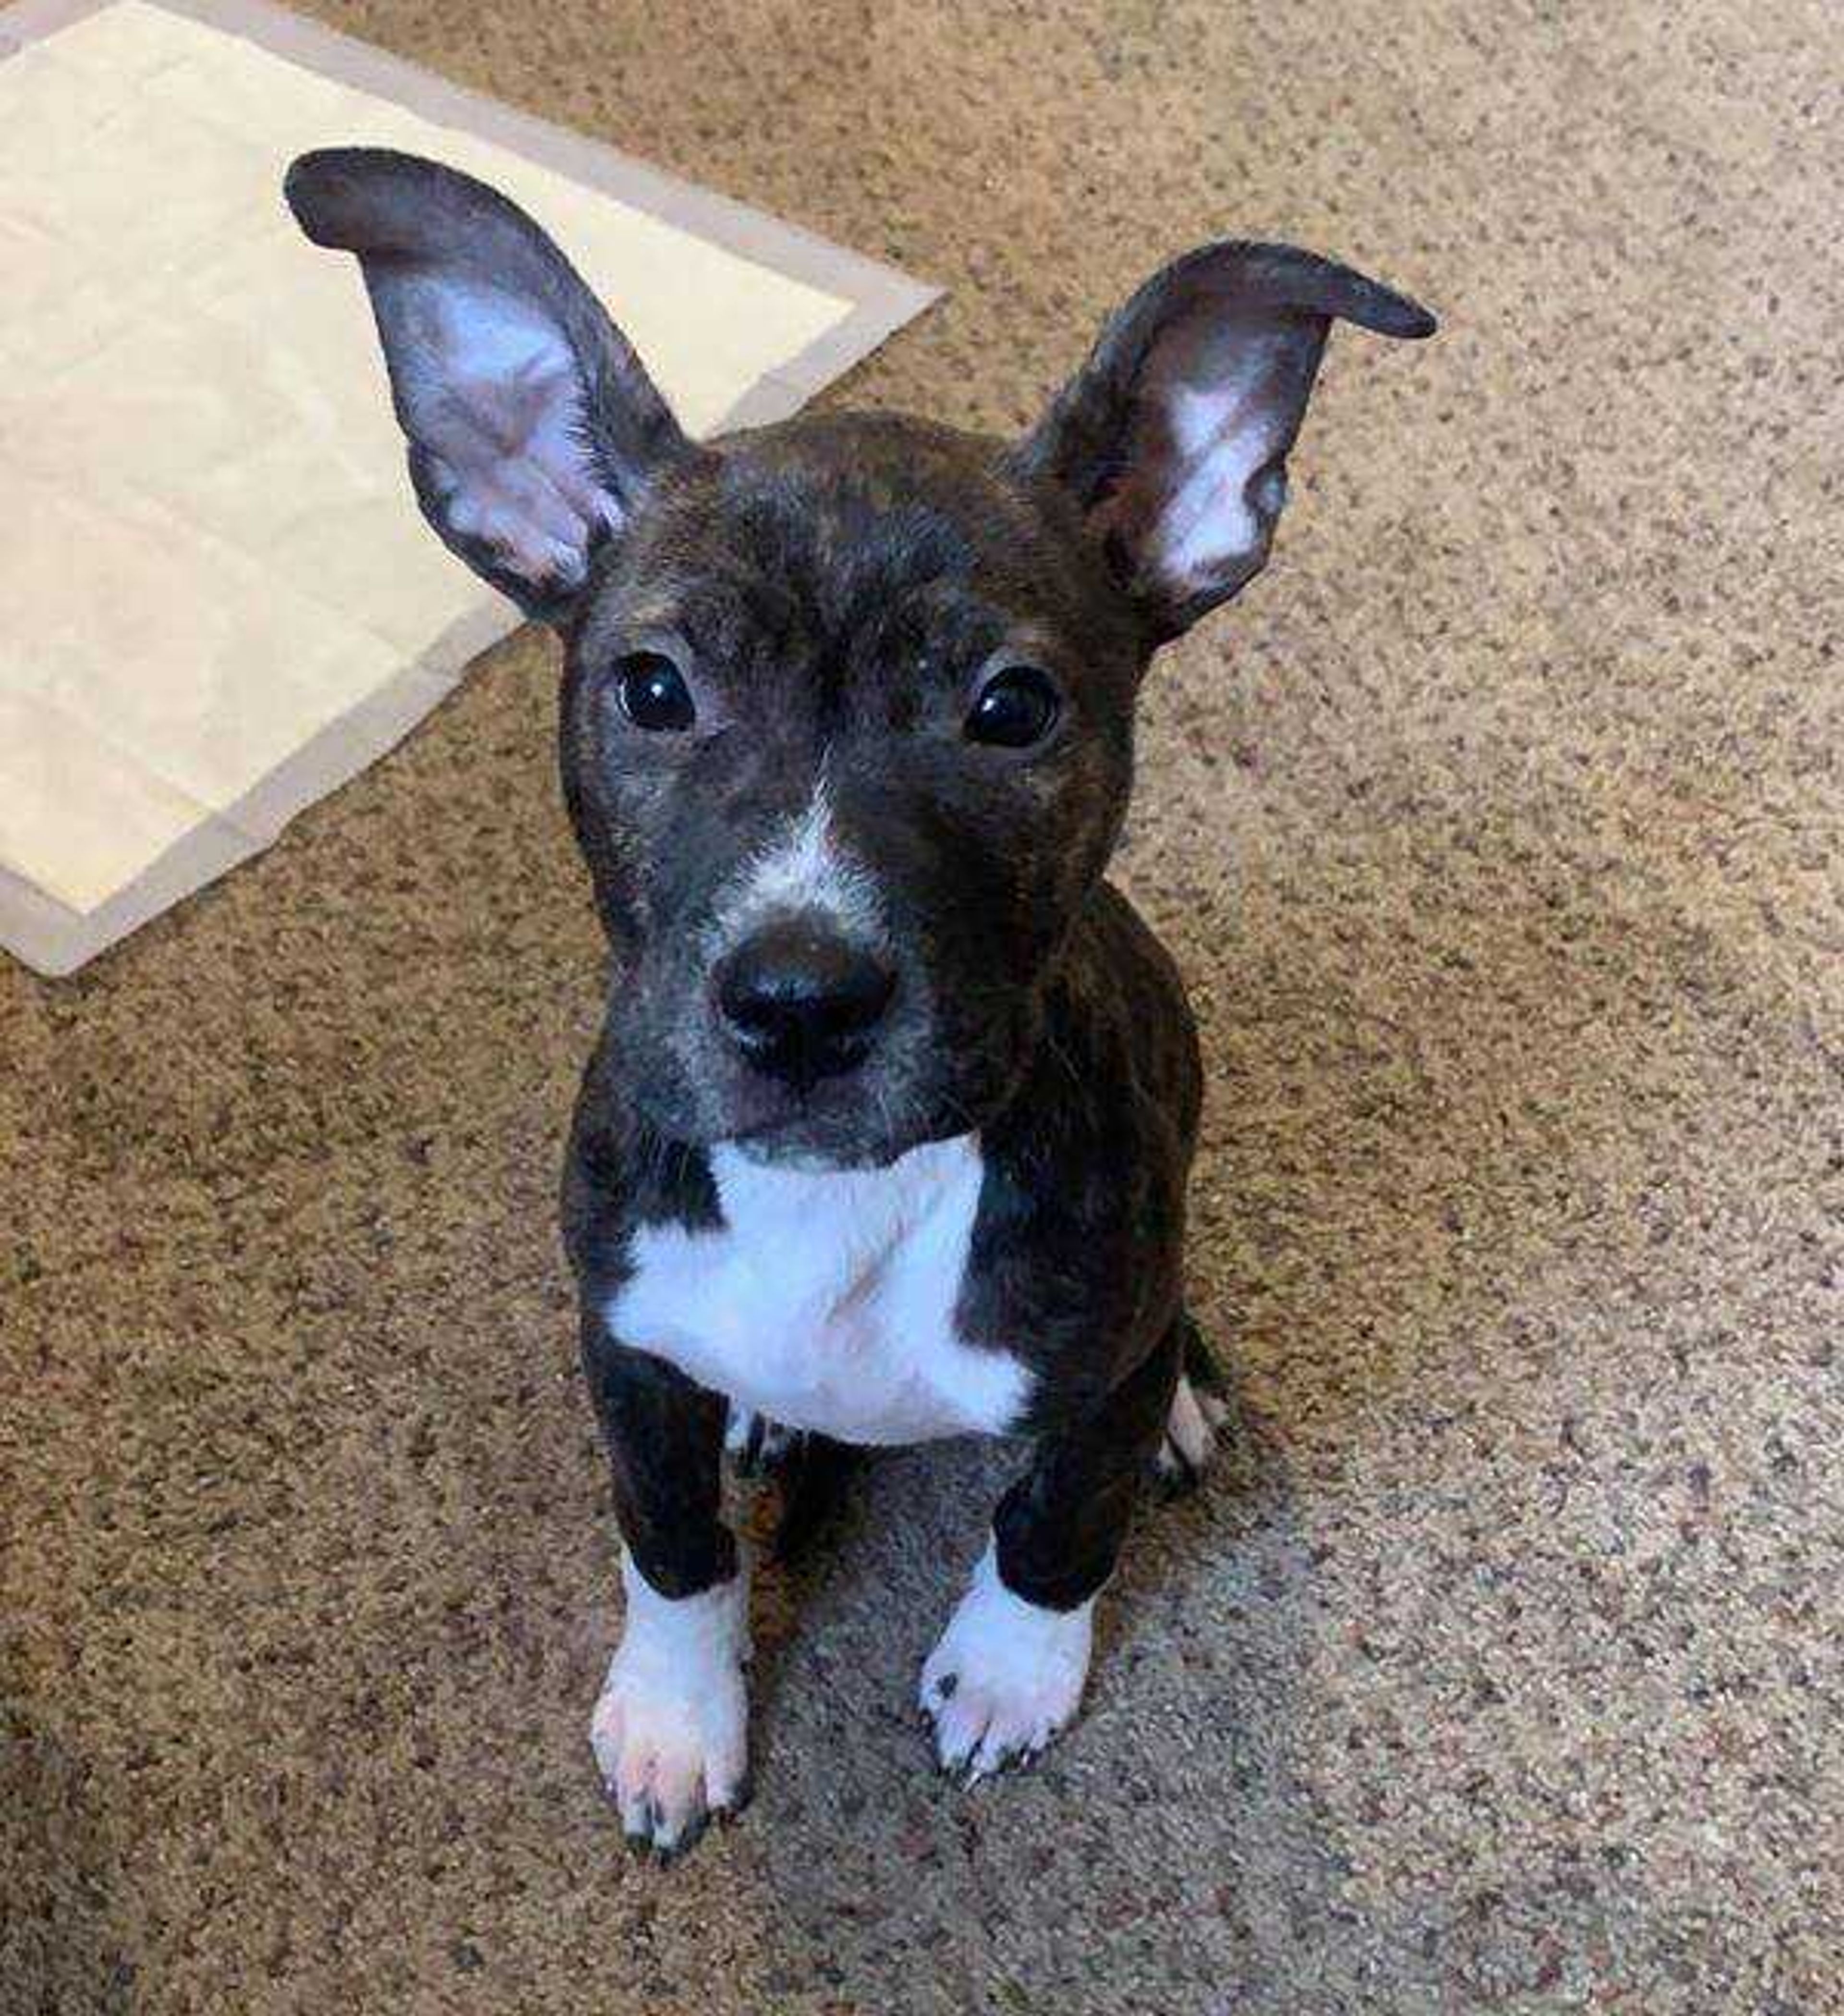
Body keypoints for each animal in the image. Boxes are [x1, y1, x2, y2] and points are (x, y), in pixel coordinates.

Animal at [292, 149, 1443, 1862]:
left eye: (1011, 709)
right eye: (652, 689)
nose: (797, 1000)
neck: (840, 1200)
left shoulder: (1088, 1343)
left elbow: (1055, 1518)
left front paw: (1013, 1666)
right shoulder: (623, 1346)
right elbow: (671, 1540)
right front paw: (677, 1713)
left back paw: (1175, 1400)